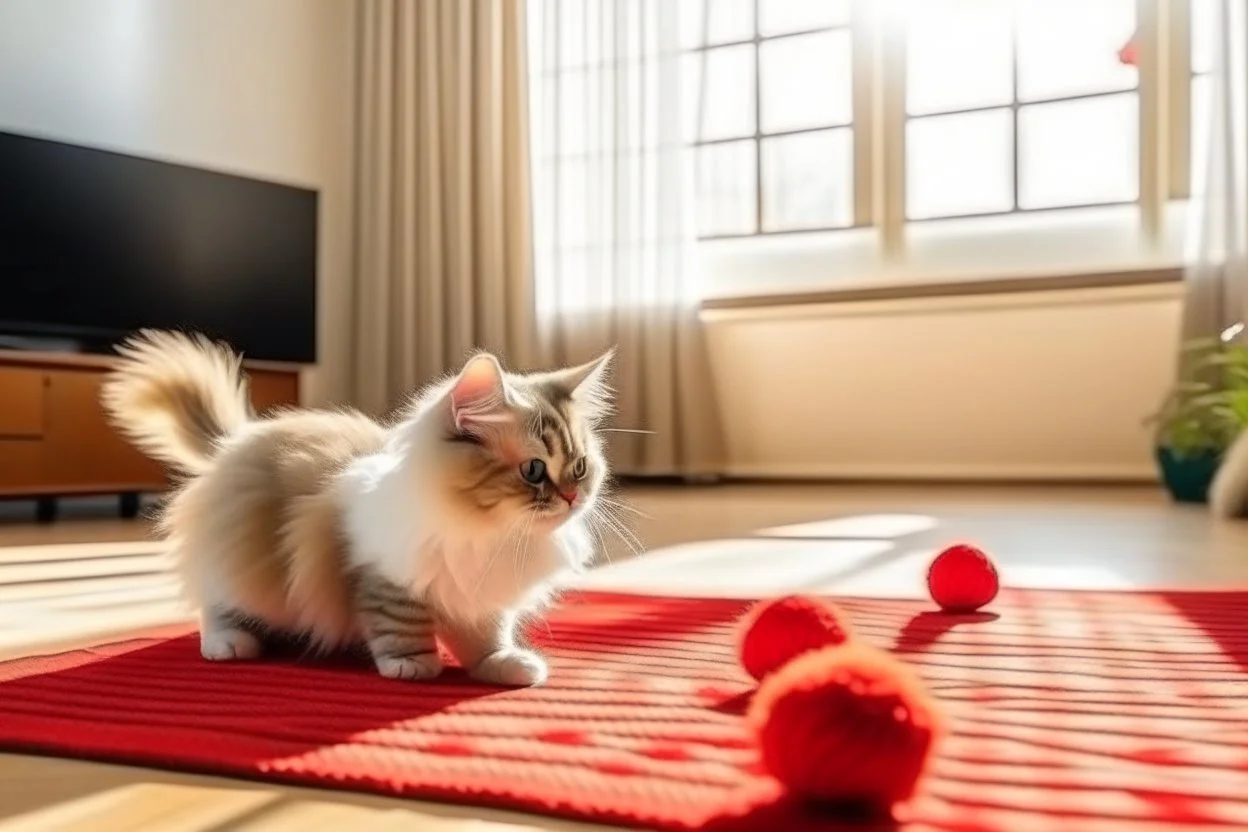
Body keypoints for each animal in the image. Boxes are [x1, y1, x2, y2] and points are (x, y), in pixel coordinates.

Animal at [102, 329, 614, 688]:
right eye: (533, 470)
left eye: (580, 467)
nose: (571, 498)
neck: (487, 533)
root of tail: (235, 441)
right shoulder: (384, 577)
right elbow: (398, 624)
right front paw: (412, 664)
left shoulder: (480, 594)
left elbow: (486, 639)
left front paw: (506, 665)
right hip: (240, 562)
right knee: (215, 600)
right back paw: (229, 643)